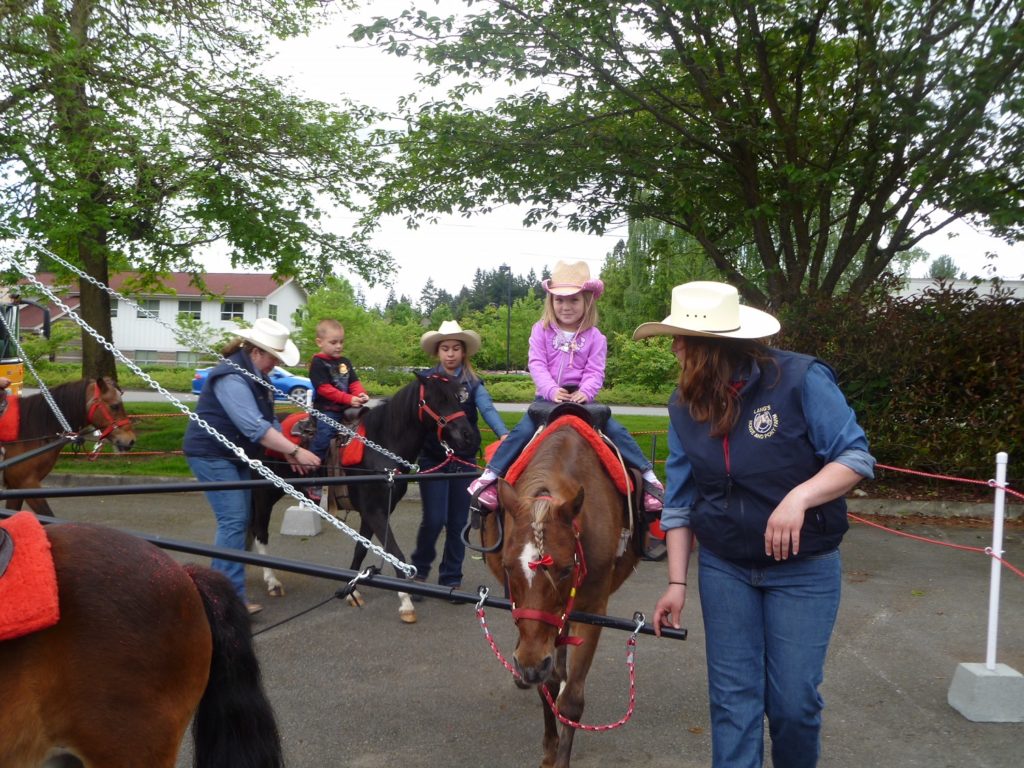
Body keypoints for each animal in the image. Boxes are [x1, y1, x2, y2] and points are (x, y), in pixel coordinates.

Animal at [481, 423, 638, 765]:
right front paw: (550, 747)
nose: (528, 664)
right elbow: (549, 684)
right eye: (509, 567)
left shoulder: (591, 611)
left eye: (566, 570)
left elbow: (571, 700)